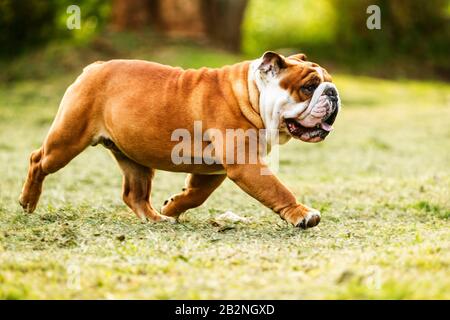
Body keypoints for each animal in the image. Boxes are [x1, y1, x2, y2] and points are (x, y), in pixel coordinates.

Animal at [19, 51, 340, 229]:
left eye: (329, 83)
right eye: (309, 87)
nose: (333, 93)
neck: (251, 94)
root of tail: (93, 67)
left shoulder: (213, 170)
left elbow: (196, 195)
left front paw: (171, 207)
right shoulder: (245, 165)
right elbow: (278, 191)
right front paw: (302, 215)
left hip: (135, 160)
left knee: (134, 194)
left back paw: (157, 219)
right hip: (67, 141)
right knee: (38, 160)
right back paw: (28, 201)